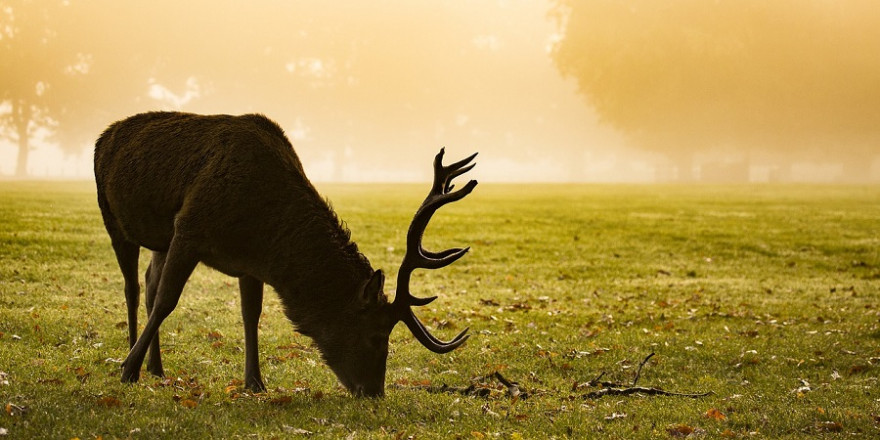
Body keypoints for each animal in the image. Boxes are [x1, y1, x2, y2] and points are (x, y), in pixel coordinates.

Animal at [93, 111, 478, 398]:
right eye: (376, 335)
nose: (373, 392)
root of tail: (104, 134)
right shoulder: (189, 227)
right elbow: (167, 301)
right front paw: (128, 370)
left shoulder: (248, 263)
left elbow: (251, 315)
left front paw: (255, 382)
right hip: (113, 218)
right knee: (134, 288)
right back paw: (132, 356)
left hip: (160, 239)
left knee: (149, 281)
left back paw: (156, 367)